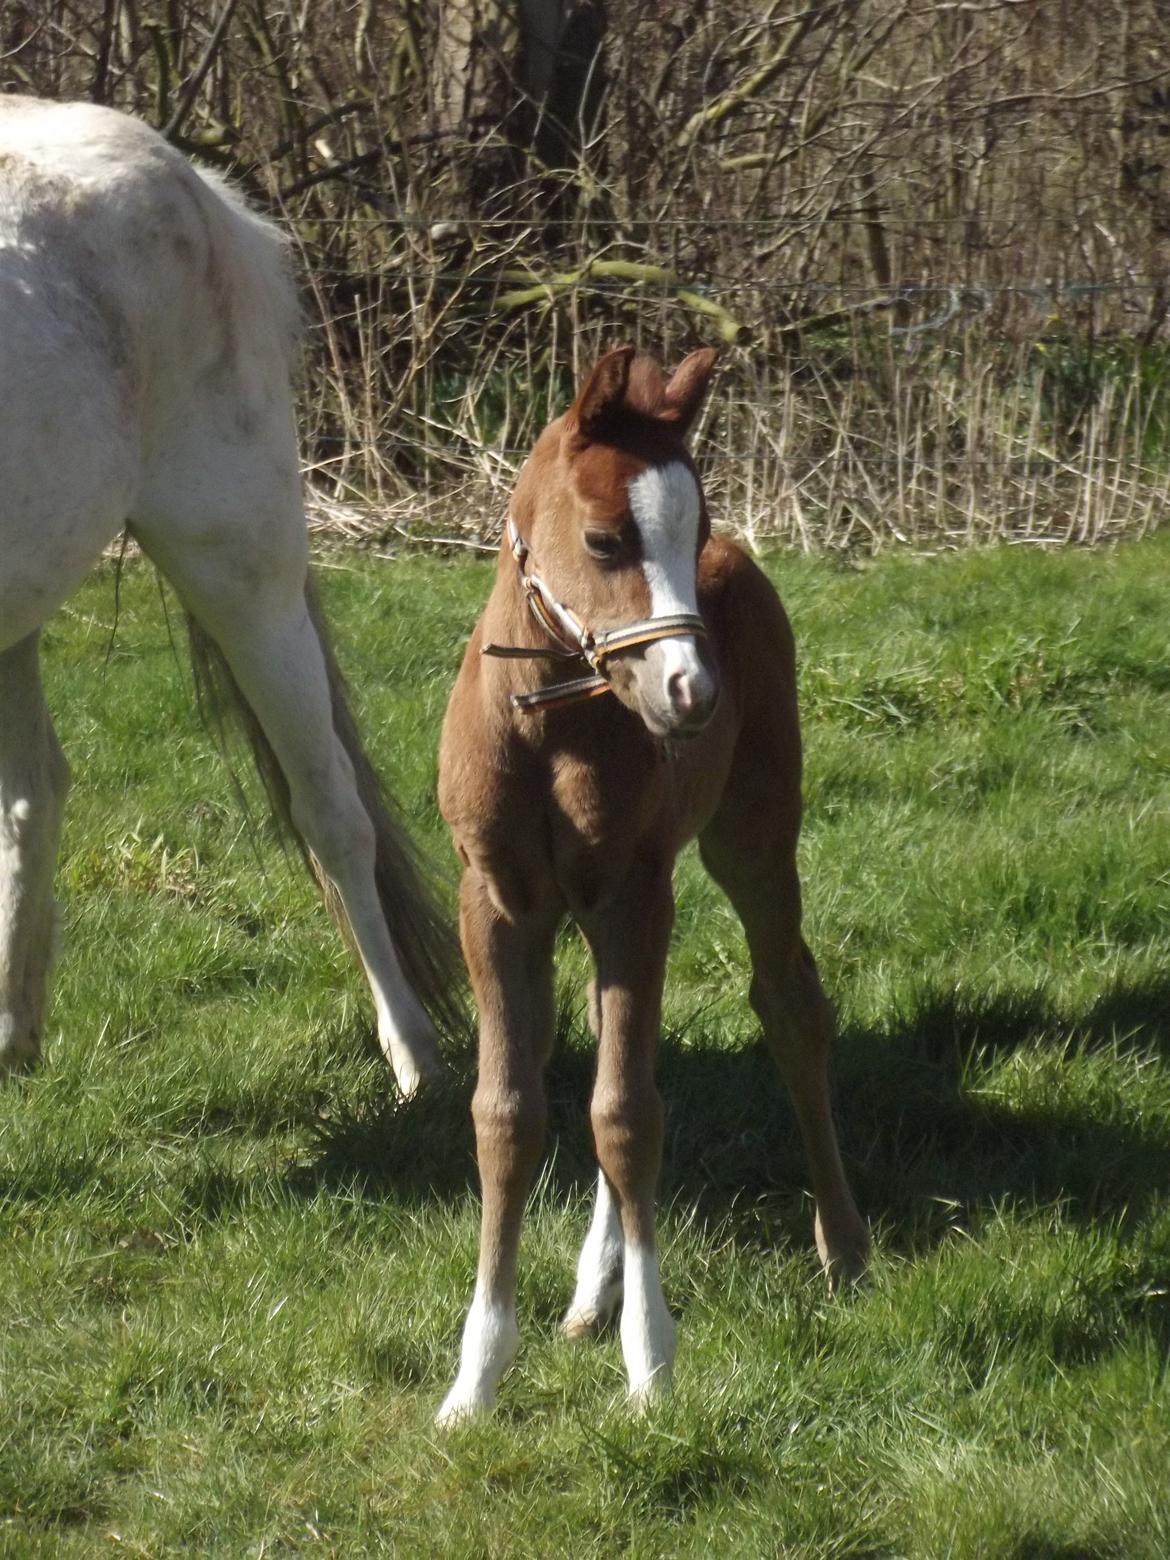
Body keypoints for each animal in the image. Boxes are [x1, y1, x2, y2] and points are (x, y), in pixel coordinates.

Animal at [0, 96, 459, 1092]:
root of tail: (198, 185)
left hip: (242, 567)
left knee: (330, 809)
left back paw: (415, 1054)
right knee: (31, 799)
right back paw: (12, 1036)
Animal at [435, 345, 871, 1423]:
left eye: (694, 526)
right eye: (604, 538)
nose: (691, 693)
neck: (549, 723)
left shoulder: (635, 895)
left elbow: (627, 1115)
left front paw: (652, 1364)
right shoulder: (494, 904)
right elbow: (510, 1114)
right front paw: (474, 1380)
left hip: (752, 836)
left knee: (789, 1005)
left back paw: (843, 1245)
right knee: (613, 1045)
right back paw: (591, 1292)